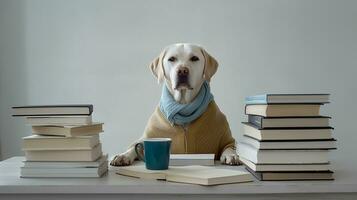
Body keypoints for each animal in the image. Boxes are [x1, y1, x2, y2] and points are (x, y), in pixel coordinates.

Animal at [110, 43, 241, 166]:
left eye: (194, 58)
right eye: (171, 59)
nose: (182, 71)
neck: (183, 106)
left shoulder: (227, 139)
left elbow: (230, 147)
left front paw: (231, 155)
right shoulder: (146, 137)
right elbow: (134, 146)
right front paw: (123, 156)